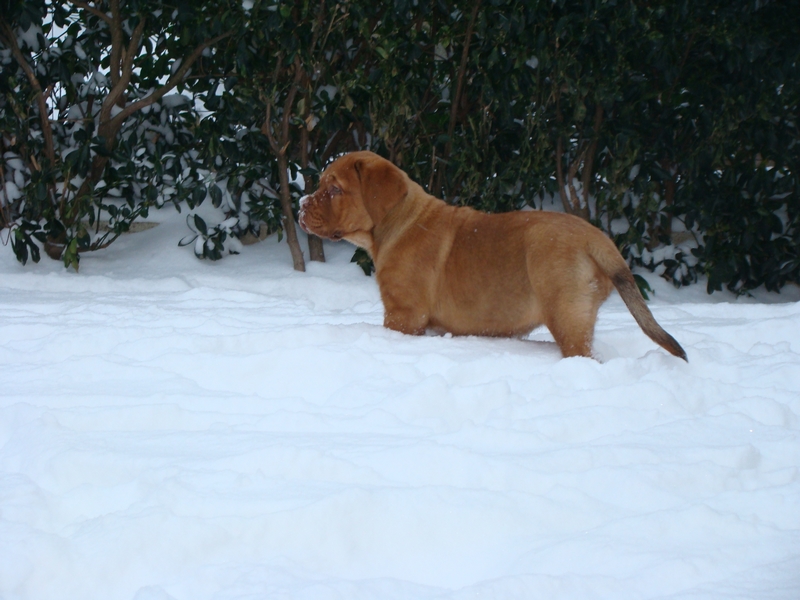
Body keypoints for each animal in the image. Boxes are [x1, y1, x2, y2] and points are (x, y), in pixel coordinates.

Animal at [300, 150, 688, 360]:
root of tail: (599, 239)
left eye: (334, 190)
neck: (397, 222)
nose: (301, 205)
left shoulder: (403, 315)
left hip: (567, 315)